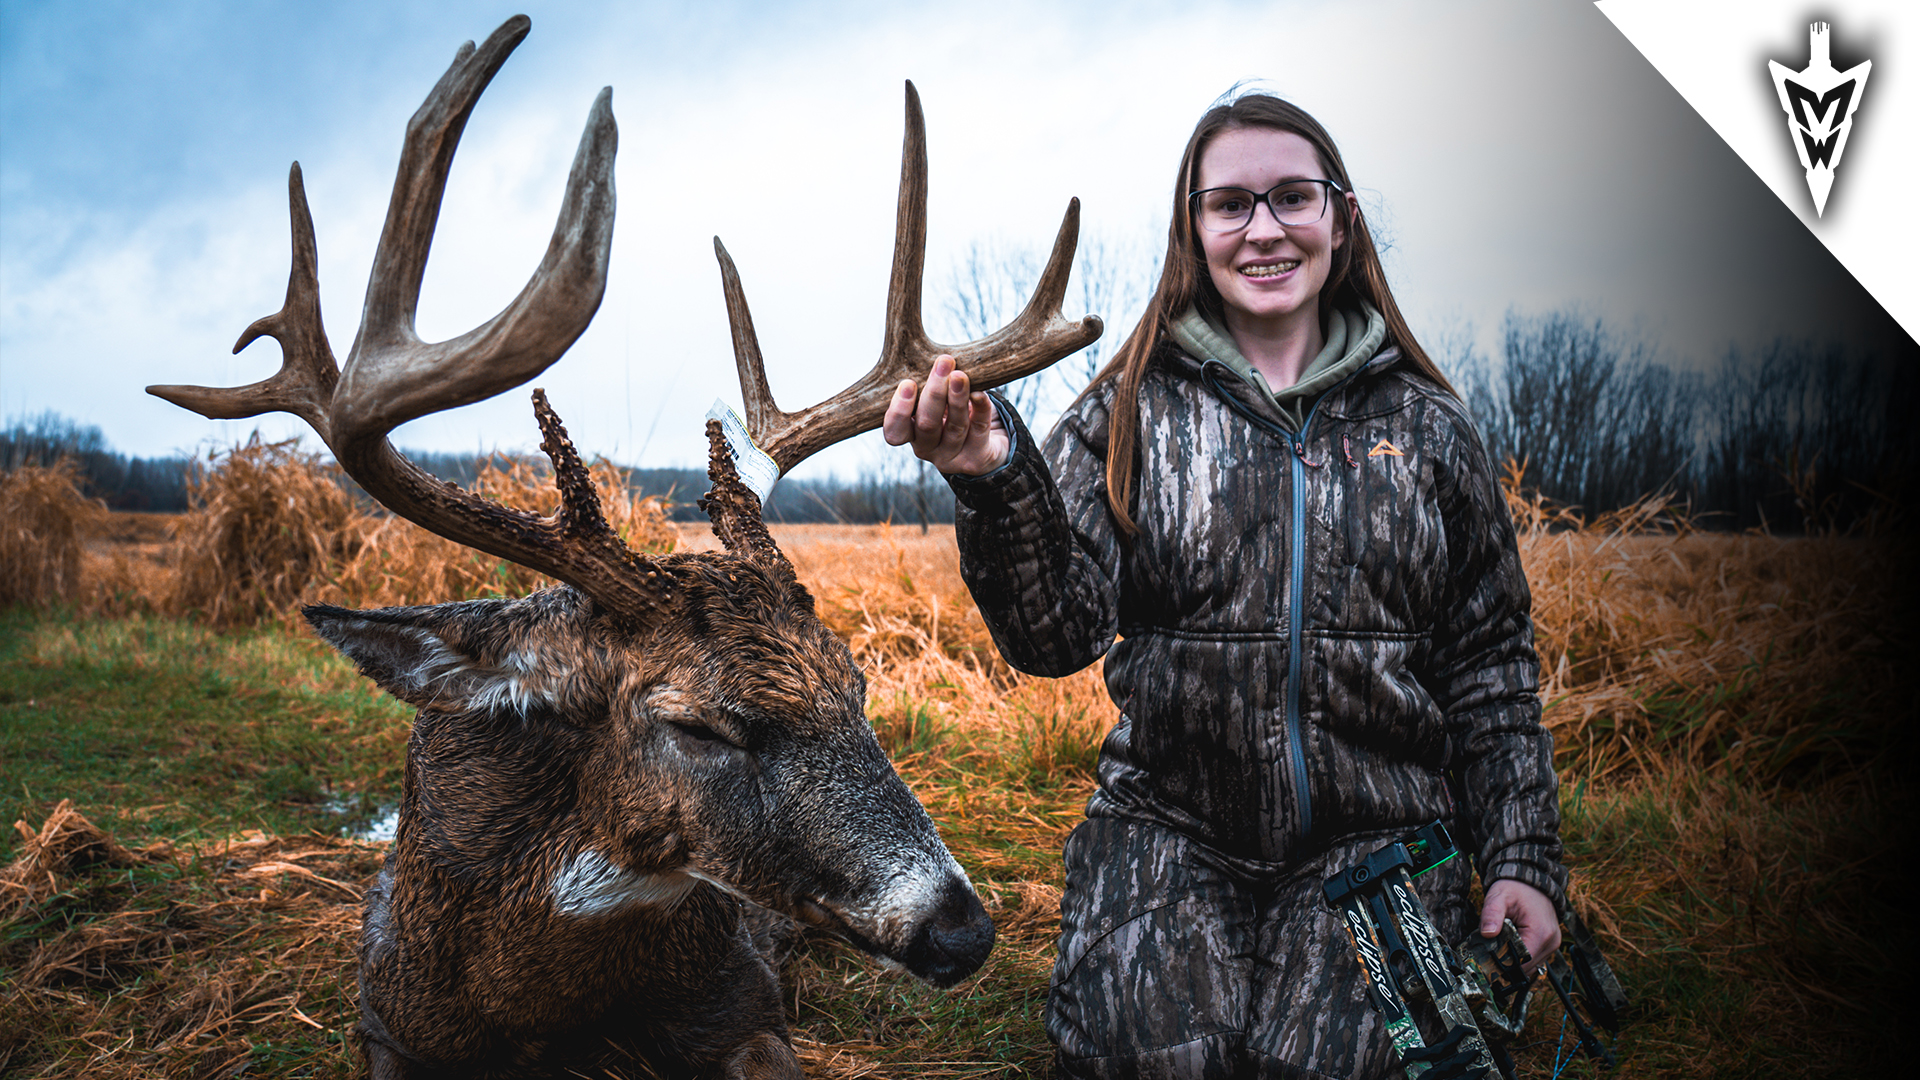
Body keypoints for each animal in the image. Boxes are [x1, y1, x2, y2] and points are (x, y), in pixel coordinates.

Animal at [146, 15, 1100, 1080]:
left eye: (858, 688)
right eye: (699, 726)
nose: (960, 931)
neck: (548, 1010)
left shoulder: (748, 1001)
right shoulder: (385, 1025)